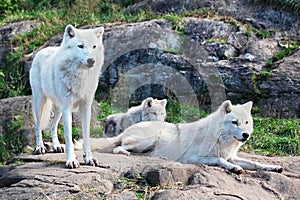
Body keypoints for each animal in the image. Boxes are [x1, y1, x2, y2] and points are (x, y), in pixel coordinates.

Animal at [29, 24, 104, 168]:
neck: (80, 76)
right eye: (80, 46)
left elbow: (86, 136)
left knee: (52, 126)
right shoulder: (67, 108)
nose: (91, 60)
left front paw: (89, 158)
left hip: (59, 109)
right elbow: (69, 138)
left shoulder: (85, 107)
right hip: (40, 102)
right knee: (37, 126)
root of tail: (43, 49)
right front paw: (71, 160)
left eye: (94, 46)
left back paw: (57, 146)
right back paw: (40, 147)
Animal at [91, 100, 284, 173]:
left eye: (246, 122)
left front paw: (273, 167)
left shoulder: (232, 155)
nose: (246, 135)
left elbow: (254, 163)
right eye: (234, 122)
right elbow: (219, 160)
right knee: (117, 147)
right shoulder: (191, 157)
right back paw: (126, 153)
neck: (220, 139)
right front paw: (234, 168)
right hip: (145, 140)